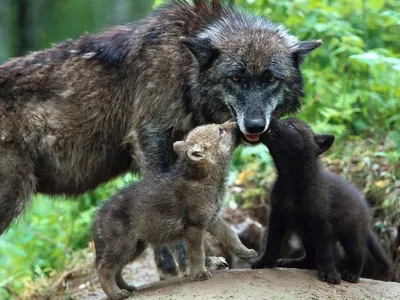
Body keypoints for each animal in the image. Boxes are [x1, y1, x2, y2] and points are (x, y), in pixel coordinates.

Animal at [0, 0, 318, 274]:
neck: (184, 68)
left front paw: (168, 265)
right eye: (236, 78)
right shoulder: (150, 138)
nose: (254, 126)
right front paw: (190, 263)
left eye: (270, 78)